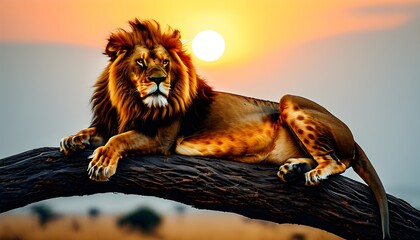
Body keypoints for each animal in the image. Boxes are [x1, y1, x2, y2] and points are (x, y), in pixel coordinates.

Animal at [61, 18, 390, 238]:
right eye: (141, 63)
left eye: (165, 63)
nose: (158, 80)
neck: (130, 102)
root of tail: (351, 135)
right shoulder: (113, 120)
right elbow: (99, 132)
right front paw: (73, 140)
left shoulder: (163, 138)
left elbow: (120, 138)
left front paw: (102, 163)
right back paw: (292, 168)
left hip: (289, 101)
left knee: (336, 160)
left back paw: (313, 172)